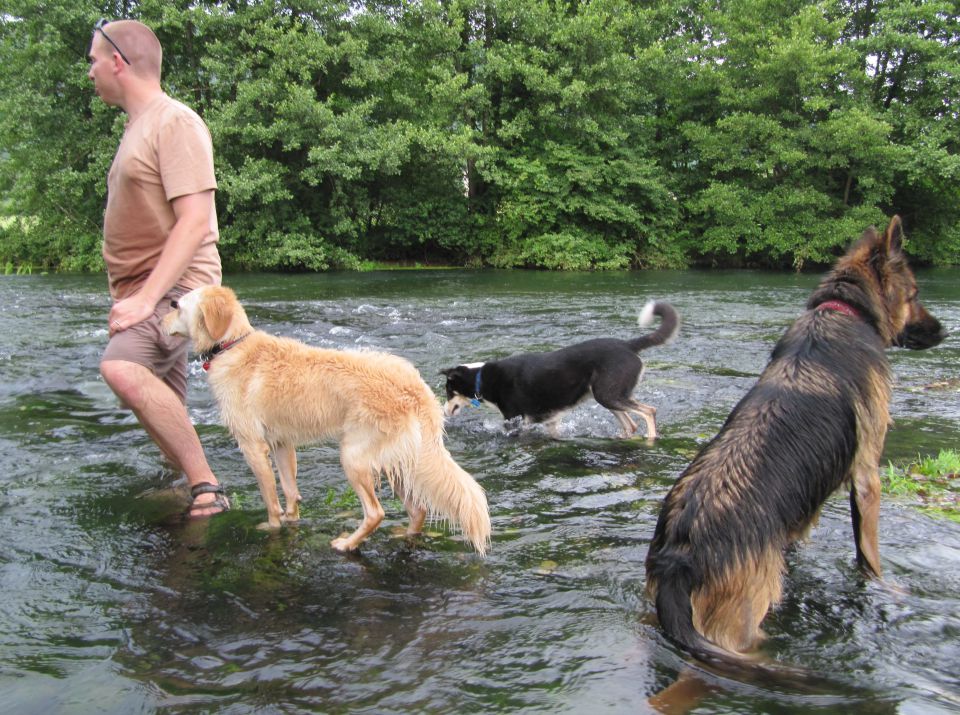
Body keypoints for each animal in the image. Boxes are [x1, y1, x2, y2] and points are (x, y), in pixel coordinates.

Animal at [438, 300, 680, 440]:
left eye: (448, 391)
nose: (443, 411)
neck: (482, 378)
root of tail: (627, 345)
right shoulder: (551, 422)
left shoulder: (515, 423)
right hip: (607, 396)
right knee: (631, 425)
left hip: (608, 394)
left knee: (649, 411)